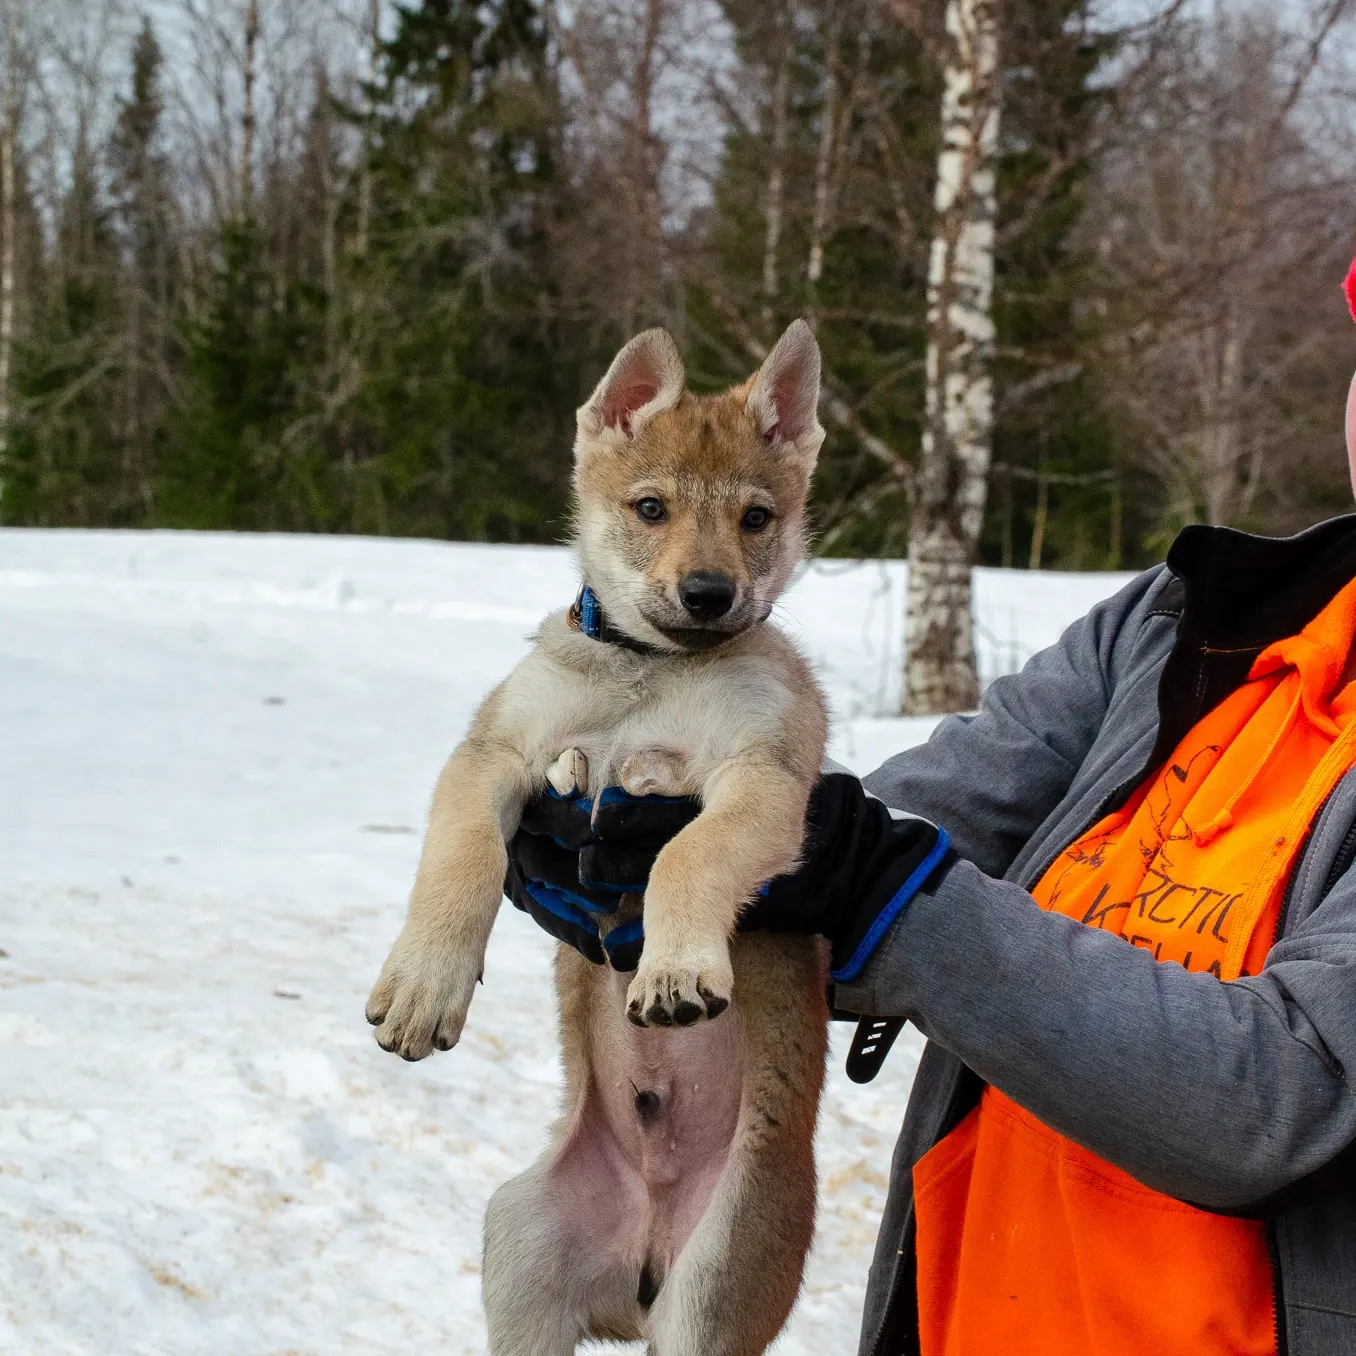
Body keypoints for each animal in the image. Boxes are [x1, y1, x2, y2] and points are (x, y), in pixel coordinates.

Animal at [366, 320, 829, 1356]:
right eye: (650, 507)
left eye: (757, 518)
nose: (709, 594)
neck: (648, 675)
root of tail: (641, 1262)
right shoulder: (494, 756)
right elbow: (461, 861)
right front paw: (424, 983)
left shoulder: (763, 777)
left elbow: (686, 854)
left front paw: (674, 966)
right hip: (520, 1256)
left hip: (713, 1290)